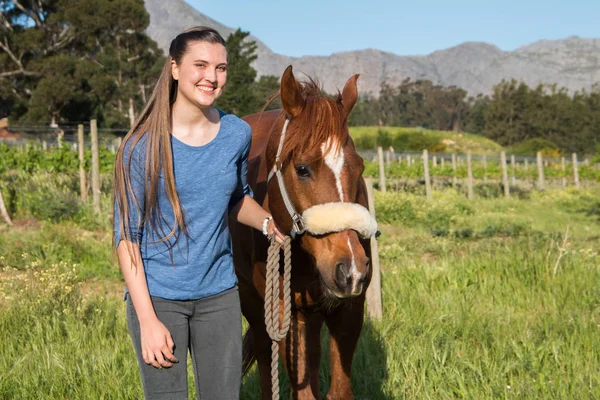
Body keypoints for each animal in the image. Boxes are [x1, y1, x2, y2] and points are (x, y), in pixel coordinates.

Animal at [230, 66, 376, 400]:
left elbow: (338, 391)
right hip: (254, 303)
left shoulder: (349, 310)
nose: (351, 269)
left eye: (359, 168)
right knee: (264, 353)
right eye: (302, 169)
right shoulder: (284, 311)